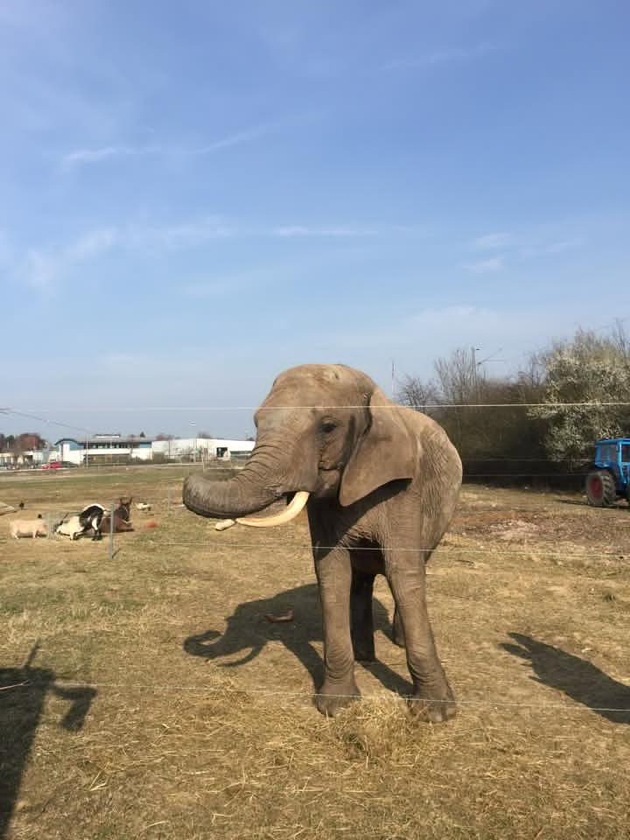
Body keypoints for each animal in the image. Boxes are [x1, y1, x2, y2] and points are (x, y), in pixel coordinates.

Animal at [184, 360, 464, 720]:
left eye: (328, 427)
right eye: (256, 422)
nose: (200, 465)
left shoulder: (404, 488)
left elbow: (403, 571)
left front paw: (435, 714)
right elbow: (331, 572)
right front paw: (337, 707)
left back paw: (393, 643)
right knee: (360, 580)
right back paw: (364, 655)